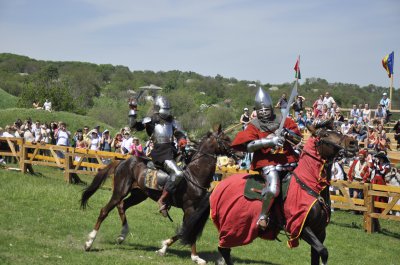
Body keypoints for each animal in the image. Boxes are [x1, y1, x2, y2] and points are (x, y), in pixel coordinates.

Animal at [80, 124, 233, 264]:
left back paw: (122, 235)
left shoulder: (193, 210)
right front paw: (195, 257)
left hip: (139, 195)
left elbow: (184, 230)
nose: (237, 153)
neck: (194, 175)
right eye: (226, 139)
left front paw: (164, 248)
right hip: (120, 192)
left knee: (122, 206)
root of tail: (123, 161)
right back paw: (89, 242)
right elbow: (188, 230)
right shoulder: (190, 209)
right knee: (104, 211)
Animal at [181, 122, 360, 264]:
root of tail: (217, 187)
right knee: (224, 249)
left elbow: (317, 255)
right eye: (325, 134)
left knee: (225, 250)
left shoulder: (319, 232)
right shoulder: (301, 227)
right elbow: (323, 251)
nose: (353, 142)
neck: (309, 185)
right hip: (233, 227)